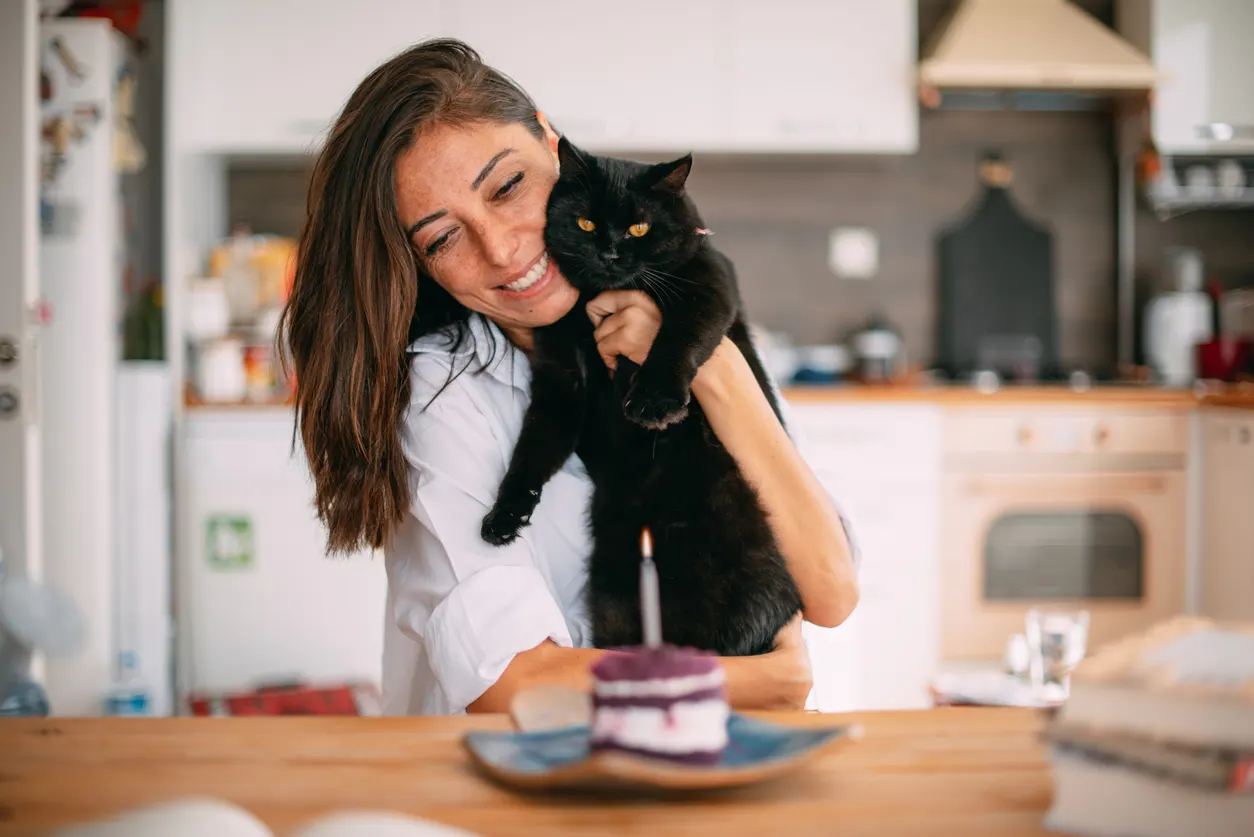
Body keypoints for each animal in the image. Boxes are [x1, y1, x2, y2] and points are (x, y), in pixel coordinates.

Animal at [479, 137, 802, 657]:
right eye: (586, 223)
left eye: (639, 227)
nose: (610, 253)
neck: (593, 306)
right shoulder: (560, 381)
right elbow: (532, 450)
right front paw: (504, 515)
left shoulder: (706, 287)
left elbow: (676, 338)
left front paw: (654, 401)